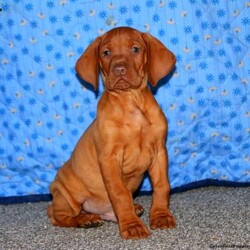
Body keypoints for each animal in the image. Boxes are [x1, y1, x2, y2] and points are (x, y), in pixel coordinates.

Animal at [47, 26, 176, 239]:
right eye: (106, 53)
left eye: (135, 49)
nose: (119, 69)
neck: (131, 104)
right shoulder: (109, 159)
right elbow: (120, 194)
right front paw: (132, 226)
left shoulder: (159, 152)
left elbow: (162, 185)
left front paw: (161, 215)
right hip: (68, 194)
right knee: (56, 215)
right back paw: (85, 219)